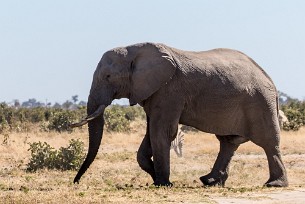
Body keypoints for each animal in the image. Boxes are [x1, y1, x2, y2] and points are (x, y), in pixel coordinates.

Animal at [70, 42, 288, 187]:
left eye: (108, 76)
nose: (76, 181)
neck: (134, 49)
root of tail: (269, 78)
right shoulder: (154, 92)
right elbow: (151, 133)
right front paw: (156, 177)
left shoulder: (169, 90)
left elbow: (161, 132)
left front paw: (162, 183)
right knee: (228, 142)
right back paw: (210, 181)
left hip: (260, 102)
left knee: (268, 142)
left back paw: (274, 184)